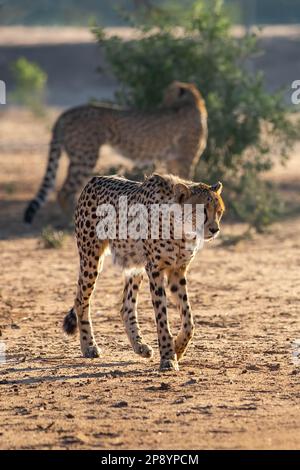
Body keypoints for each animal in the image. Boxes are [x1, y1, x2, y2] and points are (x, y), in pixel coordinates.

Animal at [23, 82, 207, 224]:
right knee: (64, 192)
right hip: (85, 157)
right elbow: (187, 184)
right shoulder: (186, 159)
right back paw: (71, 222)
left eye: (166, 97)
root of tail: (66, 113)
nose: (160, 107)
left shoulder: (173, 160)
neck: (191, 102)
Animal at [62, 173, 223, 370]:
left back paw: (140, 346)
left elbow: (188, 320)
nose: (215, 229)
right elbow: (162, 318)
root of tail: (95, 179)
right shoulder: (155, 269)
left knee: (126, 307)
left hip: (134, 265)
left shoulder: (177, 271)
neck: (180, 230)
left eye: (219, 211)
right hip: (91, 258)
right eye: (202, 211)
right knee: (81, 301)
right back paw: (89, 346)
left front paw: (178, 348)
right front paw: (168, 357)